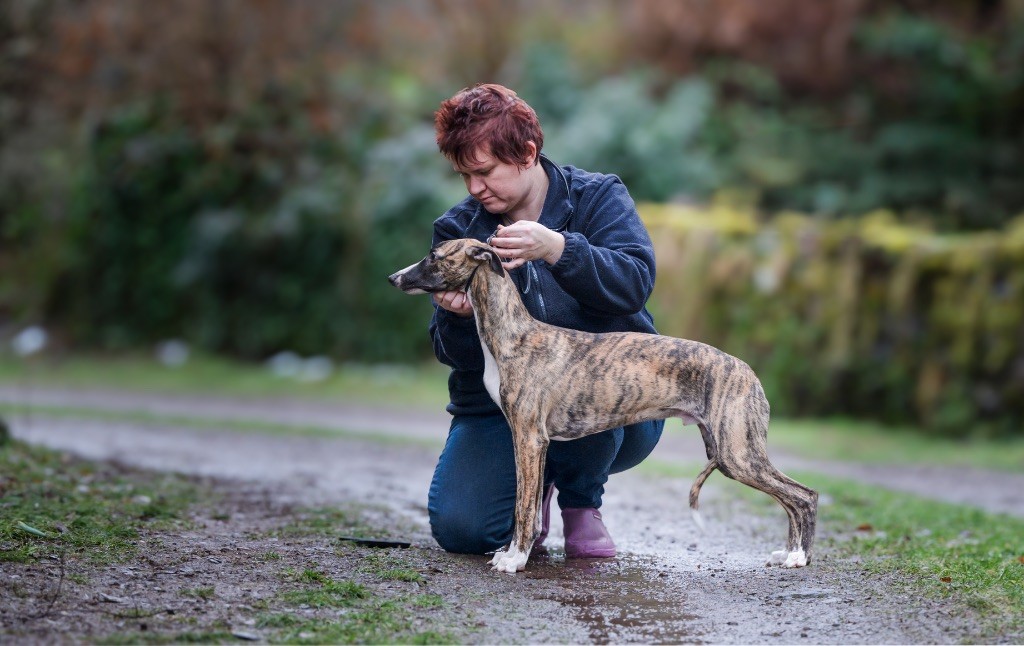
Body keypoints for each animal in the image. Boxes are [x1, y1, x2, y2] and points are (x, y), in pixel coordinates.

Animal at [387, 240, 819, 573]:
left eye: (433, 255)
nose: (394, 279)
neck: (513, 335)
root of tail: (748, 371)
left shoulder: (529, 438)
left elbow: (524, 509)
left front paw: (516, 560)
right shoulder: (525, 440)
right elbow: (523, 505)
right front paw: (511, 553)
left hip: (738, 453)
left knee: (804, 495)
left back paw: (799, 557)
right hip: (730, 450)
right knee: (791, 499)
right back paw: (788, 553)